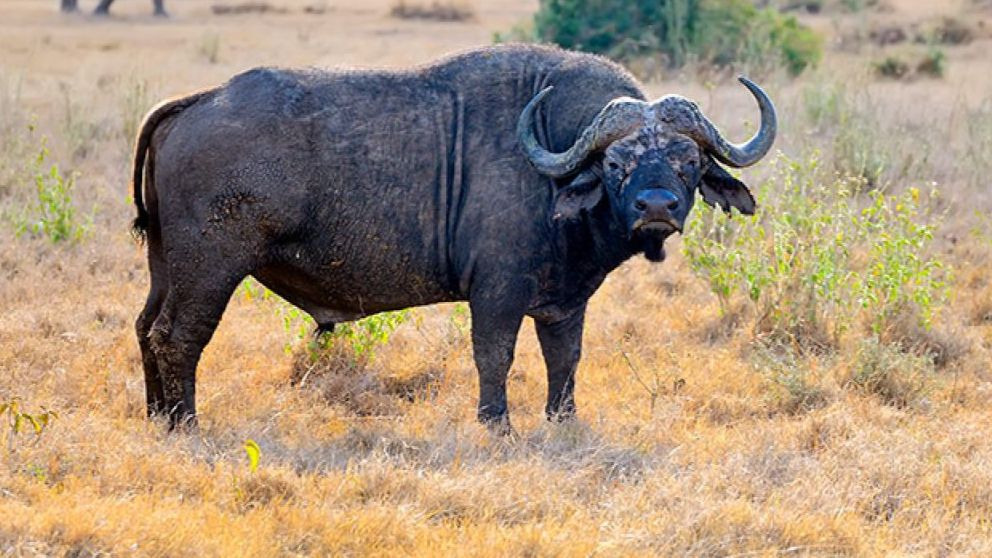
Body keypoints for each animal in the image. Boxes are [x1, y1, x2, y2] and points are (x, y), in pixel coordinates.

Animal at [131, 44, 775, 431]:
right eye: (617, 162)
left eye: (689, 161)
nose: (656, 207)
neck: (548, 160)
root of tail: (202, 100)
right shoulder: (497, 294)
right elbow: (494, 355)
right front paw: (498, 425)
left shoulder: (566, 303)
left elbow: (565, 360)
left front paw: (562, 423)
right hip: (211, 266)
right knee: (177, 336)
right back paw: (186, 424)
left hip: (166, 266)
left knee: (144, 328)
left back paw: (157, 419)